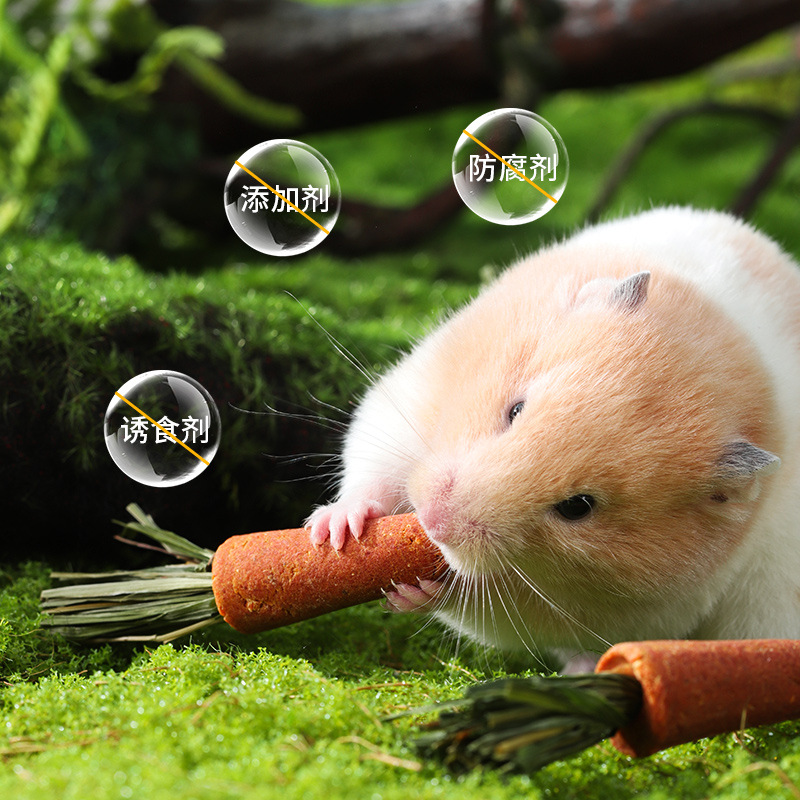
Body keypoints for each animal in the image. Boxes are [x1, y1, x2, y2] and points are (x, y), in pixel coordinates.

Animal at [306, 207, 800, 662]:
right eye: (515, 409)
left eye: (577, 507)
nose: (432, 520)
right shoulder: (412, 396)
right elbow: (371, 469)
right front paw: (336, 530)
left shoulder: (607, 610)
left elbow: (486, 608)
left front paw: (418, 591)